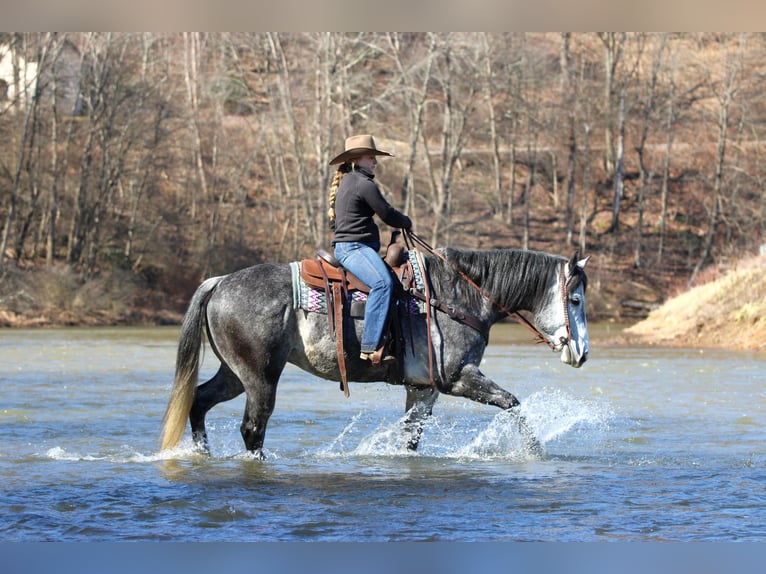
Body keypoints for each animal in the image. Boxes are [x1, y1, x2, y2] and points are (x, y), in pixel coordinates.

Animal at [160, 246, 590, 458]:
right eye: (575, 299)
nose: (582, 353)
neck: (458, 297)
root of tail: (219, 282)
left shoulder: (423, 388)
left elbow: (411, 436)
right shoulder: (458, 379)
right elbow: (513, 403)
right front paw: (534, 452)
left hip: (234, 374)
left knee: (198, 402)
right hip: (260, 376)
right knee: (252, 428)